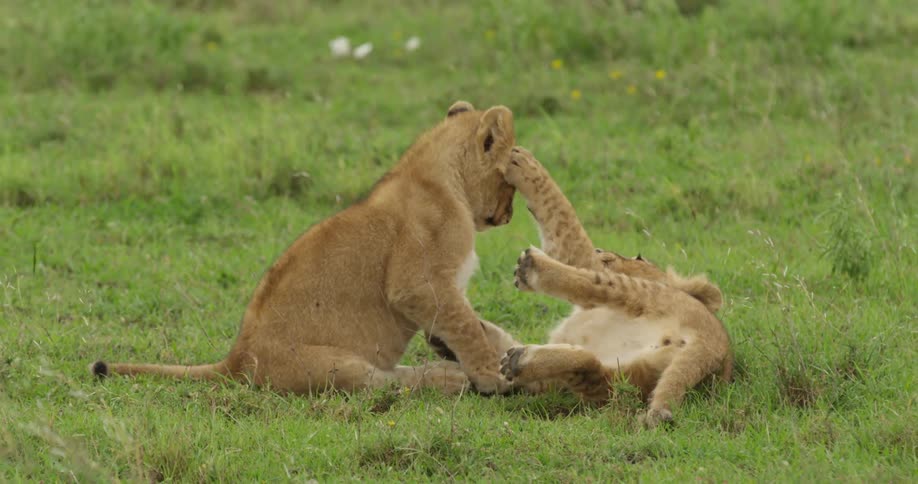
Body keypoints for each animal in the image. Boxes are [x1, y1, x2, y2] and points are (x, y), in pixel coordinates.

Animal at [91, 101, 520, 395]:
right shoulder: (416, 282)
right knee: (383, 382)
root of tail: (237, 359)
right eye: (511, 180)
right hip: (337, 365)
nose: (510, 216)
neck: (438, 174)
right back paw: (449, 380)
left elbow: (466, 323)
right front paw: (491, 376)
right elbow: (465, 325)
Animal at [495, 147, 732, 426]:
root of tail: (715, 348)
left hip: (639, 294)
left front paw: (522, 161)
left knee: (589, 285)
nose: (601, 250)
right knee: (589, 364)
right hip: (622, 381)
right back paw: (518, 361)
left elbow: (562, 219)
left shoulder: (586, 261)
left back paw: (531, 268)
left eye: (639, 257)